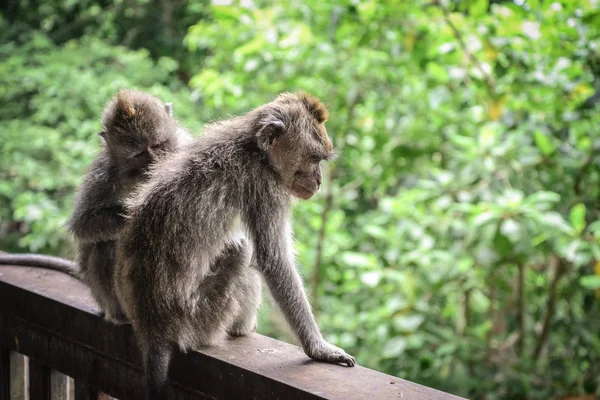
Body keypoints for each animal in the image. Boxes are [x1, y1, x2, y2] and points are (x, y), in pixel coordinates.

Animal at [115, 91, 354, 400]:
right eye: (314, 158)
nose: (320, 180)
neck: (253, 148)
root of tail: (155, 328)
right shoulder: (265, 185)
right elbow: (273, 260)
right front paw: (319, 349)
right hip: (201, 320)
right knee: (242, 251)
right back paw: (242, 327)